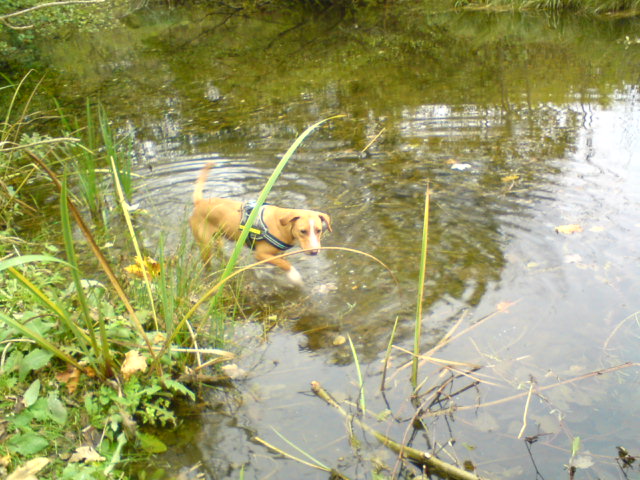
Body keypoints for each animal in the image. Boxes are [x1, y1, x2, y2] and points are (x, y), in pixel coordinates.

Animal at [189, 163, 330, 286]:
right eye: (303, 231)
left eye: (319, 230)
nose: (314, 252)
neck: (282, 226)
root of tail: (200, 202)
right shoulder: (261, 254)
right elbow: (285, 265)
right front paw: (295, 277)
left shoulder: (276, 254)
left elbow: (277, 263)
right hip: (205, 245)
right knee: (206, 262)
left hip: (218, 238)